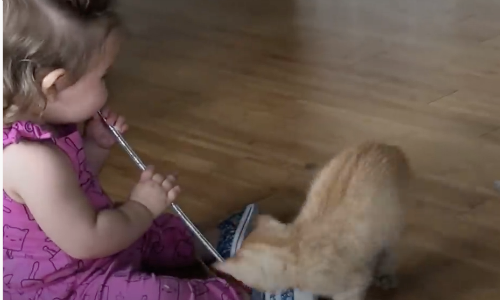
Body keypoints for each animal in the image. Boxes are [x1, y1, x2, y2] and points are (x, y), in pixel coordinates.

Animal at [215, 142, 410, 300]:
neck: (295, 245)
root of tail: (389, 147)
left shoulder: (354, 284)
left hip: (394, 224)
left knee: (391, 251)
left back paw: (386, 275)